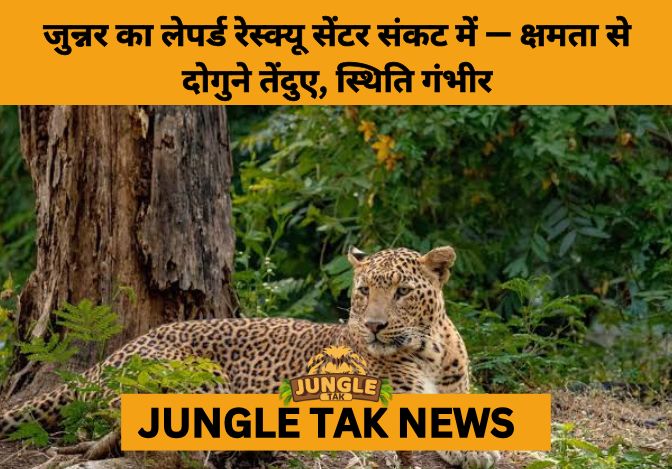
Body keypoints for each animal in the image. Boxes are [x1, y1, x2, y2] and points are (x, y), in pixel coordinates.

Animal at [0, 246, 500, 468]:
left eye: (401, 292)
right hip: (198, 381)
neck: (430, 349)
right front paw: (471, 449)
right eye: (363, 291)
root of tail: (111, 356)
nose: (374, 326)